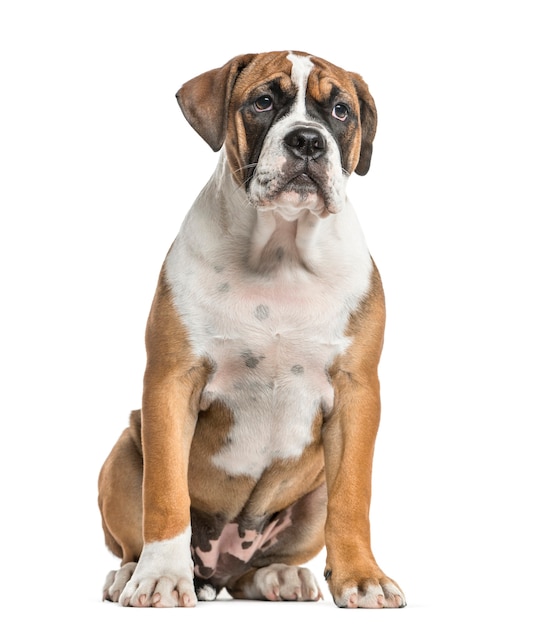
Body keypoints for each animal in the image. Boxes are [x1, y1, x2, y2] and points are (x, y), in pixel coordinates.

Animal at [97, 50, 406, 608]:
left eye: (341, 111)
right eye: (263, 102)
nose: (307, 140)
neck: (280, 248)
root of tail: (218, 567)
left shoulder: (357, 393)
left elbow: (354, 497)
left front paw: (363, 578)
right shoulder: (170, 383)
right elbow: (166, 493)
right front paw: (161, 578)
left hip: (310, 497)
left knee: (254, 568)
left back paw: (279, 576)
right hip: (124, 454)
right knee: (135, 533)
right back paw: (132, 573)